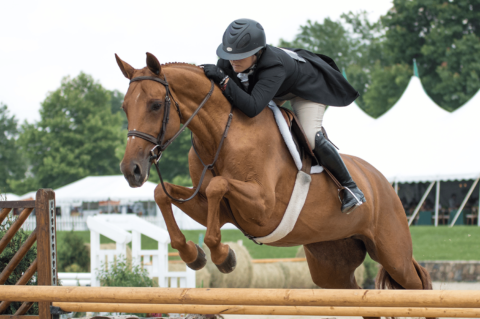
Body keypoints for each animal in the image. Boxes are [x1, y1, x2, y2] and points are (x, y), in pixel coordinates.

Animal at [115, 52, 432, 298]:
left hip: (394, 254)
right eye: (124, 107)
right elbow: (162, 192)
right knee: (353, 293)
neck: (221, 135)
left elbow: (219, 184)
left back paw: (353, 195)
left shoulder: (264, 207)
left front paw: (223, 257)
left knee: (417, 283)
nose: (131, 170)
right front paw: (193, 255)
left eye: (156, 105)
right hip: (331, 263)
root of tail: (381, 182)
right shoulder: (211, 205)